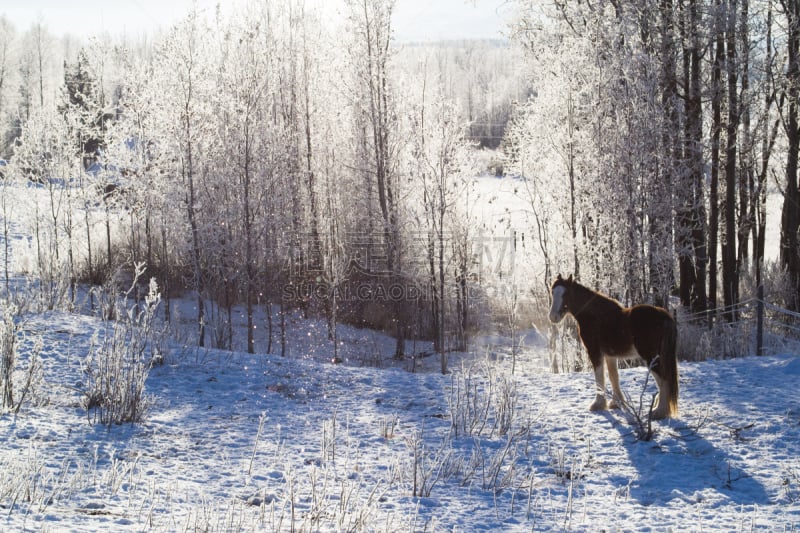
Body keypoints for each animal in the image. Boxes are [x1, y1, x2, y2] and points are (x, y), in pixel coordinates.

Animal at [552, 274, 680, 420]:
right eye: (552, 291)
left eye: (566, 293)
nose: (553, 317)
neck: (595, 315)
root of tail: (664, 316)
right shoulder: (610, 355)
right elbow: (614, 376)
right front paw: (616, 402)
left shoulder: (594, 352)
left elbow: (599, 376)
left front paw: (598, 404)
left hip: (650, 357)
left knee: (663, 380)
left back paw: (659, 411)